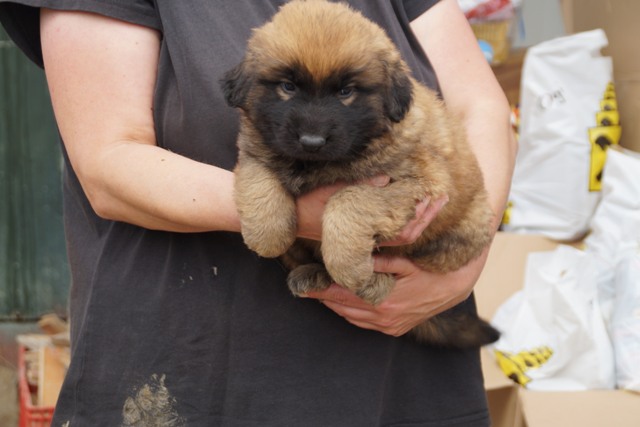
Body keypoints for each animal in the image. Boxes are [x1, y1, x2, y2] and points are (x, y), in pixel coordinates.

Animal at [221, 0, 499, 349]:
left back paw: (372, 281)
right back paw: (314, 273)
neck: (318, 164)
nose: (311, 142)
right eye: (287, 86)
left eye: (346, 91)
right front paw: (267, 234)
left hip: (453, 236)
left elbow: (350, 199)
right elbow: (259, 182)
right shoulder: (255, 149)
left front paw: (348, 264)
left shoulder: (425, 183)